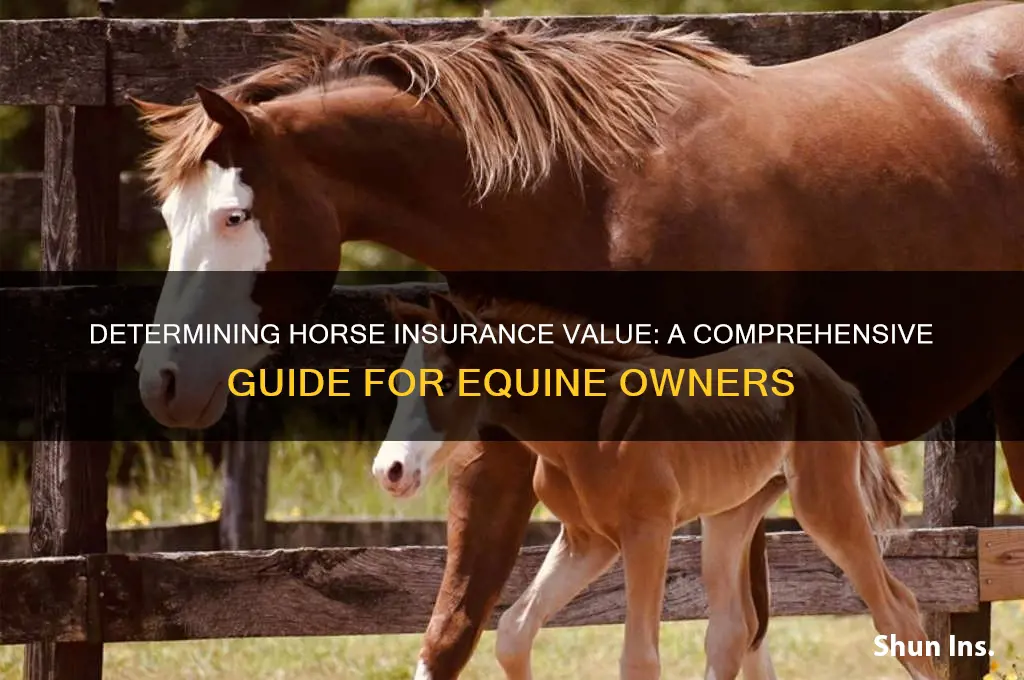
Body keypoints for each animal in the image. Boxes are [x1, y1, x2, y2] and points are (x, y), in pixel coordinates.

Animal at [370, 292, 934, 680]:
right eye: (400, 383)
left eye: (445, 381)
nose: (388, 471)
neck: (587, 424)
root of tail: (833, 380)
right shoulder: (587, 541)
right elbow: (513, 632)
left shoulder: (648, 531)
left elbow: (639, 658)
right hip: (732, 512)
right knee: (731, 631)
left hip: (823, 503)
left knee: (898, 612)